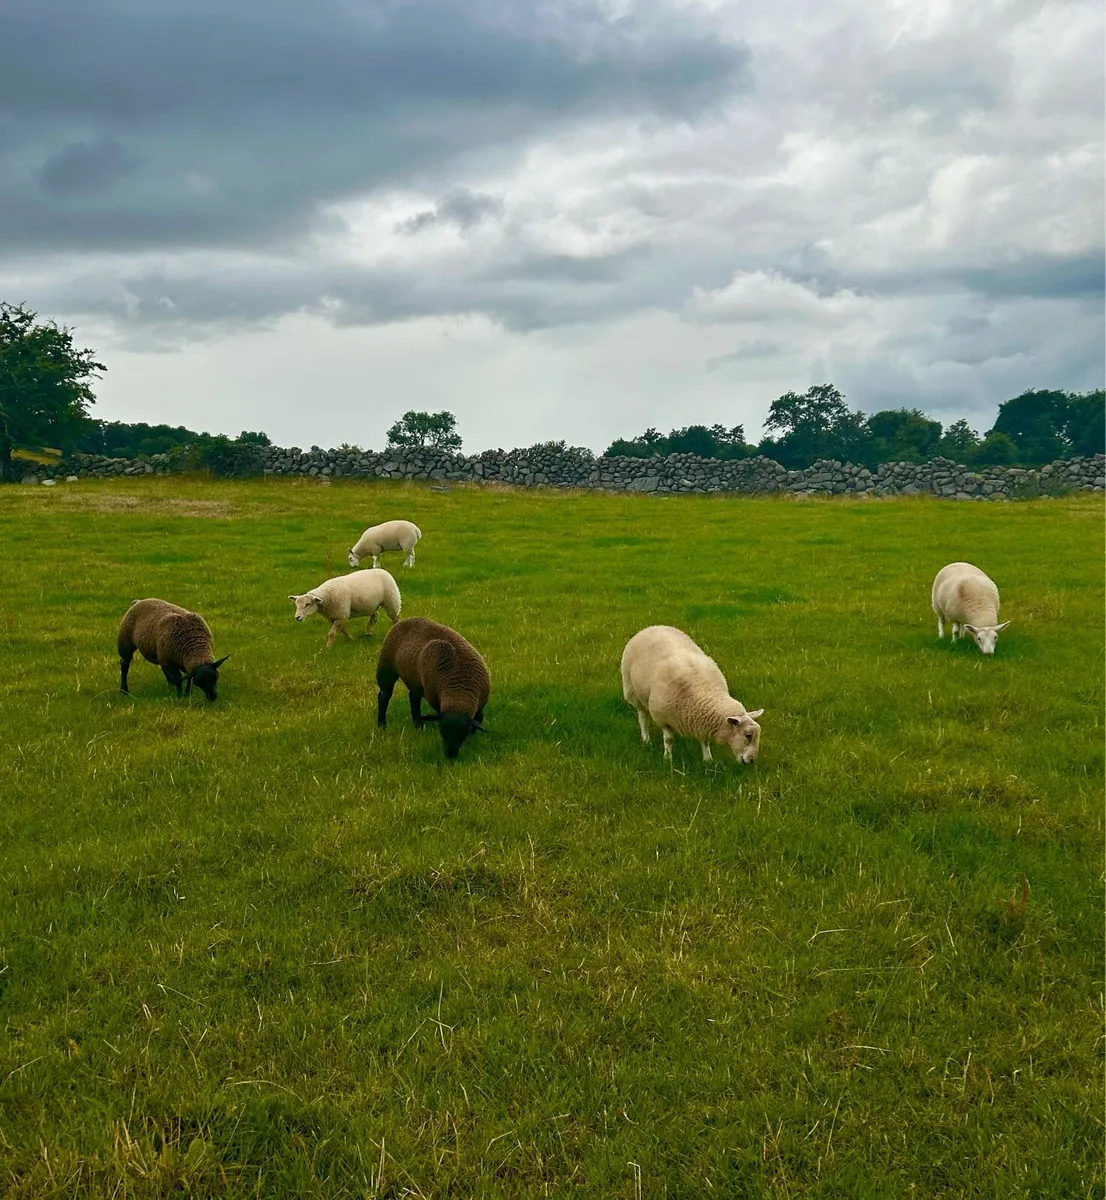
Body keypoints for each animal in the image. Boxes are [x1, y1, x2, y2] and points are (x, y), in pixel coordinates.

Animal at [376, 617, 490, 759]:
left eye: (463, 733)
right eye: (442, 730)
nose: (450, 756)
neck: (459, 690)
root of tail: (405, 620)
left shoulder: (480, 706)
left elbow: (479, 719)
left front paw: (472, 738)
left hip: (415, 679)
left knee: (413, 697)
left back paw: (418, 725)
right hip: (386, 667)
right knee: (384, 695)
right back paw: (382, 725)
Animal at [621, 625, 764, 765]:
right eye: (748, 735)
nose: (752, 761)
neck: (704, 691)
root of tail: (652, 627)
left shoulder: (701, 722)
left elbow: (704, 741)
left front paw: (707, 759)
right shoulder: (662, 718)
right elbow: (668, 739)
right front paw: (667, 758)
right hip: (632, 691)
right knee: (642, 716)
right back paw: (646, 739)